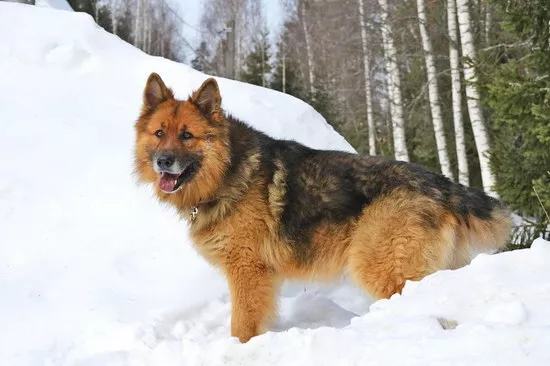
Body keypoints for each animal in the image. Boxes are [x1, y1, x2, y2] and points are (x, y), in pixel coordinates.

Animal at [136, 74, 516, 344]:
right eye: (159, 133)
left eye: (187, 135)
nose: (162, 162)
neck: (228, 170)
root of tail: (443, 184)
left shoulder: (248, 272)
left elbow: (243, 326)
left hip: (380, 266)